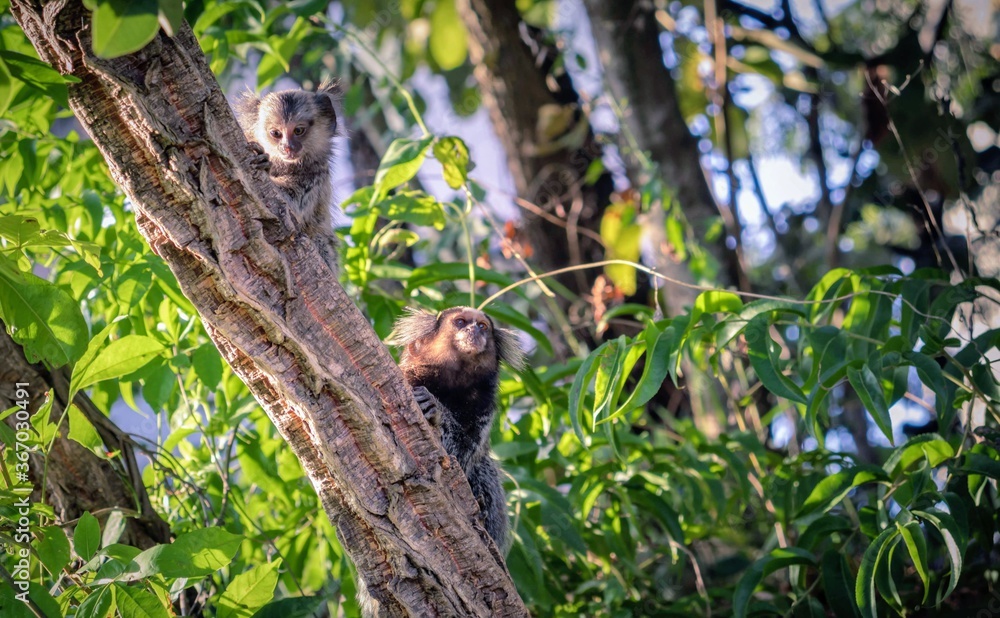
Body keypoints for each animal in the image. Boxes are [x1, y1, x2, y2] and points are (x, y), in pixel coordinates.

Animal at [235, 80, 342, 270]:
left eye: (298, 131)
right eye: (276, 133)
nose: (288, 147)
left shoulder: (316, 176)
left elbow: (291, 204)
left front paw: (265, 164)